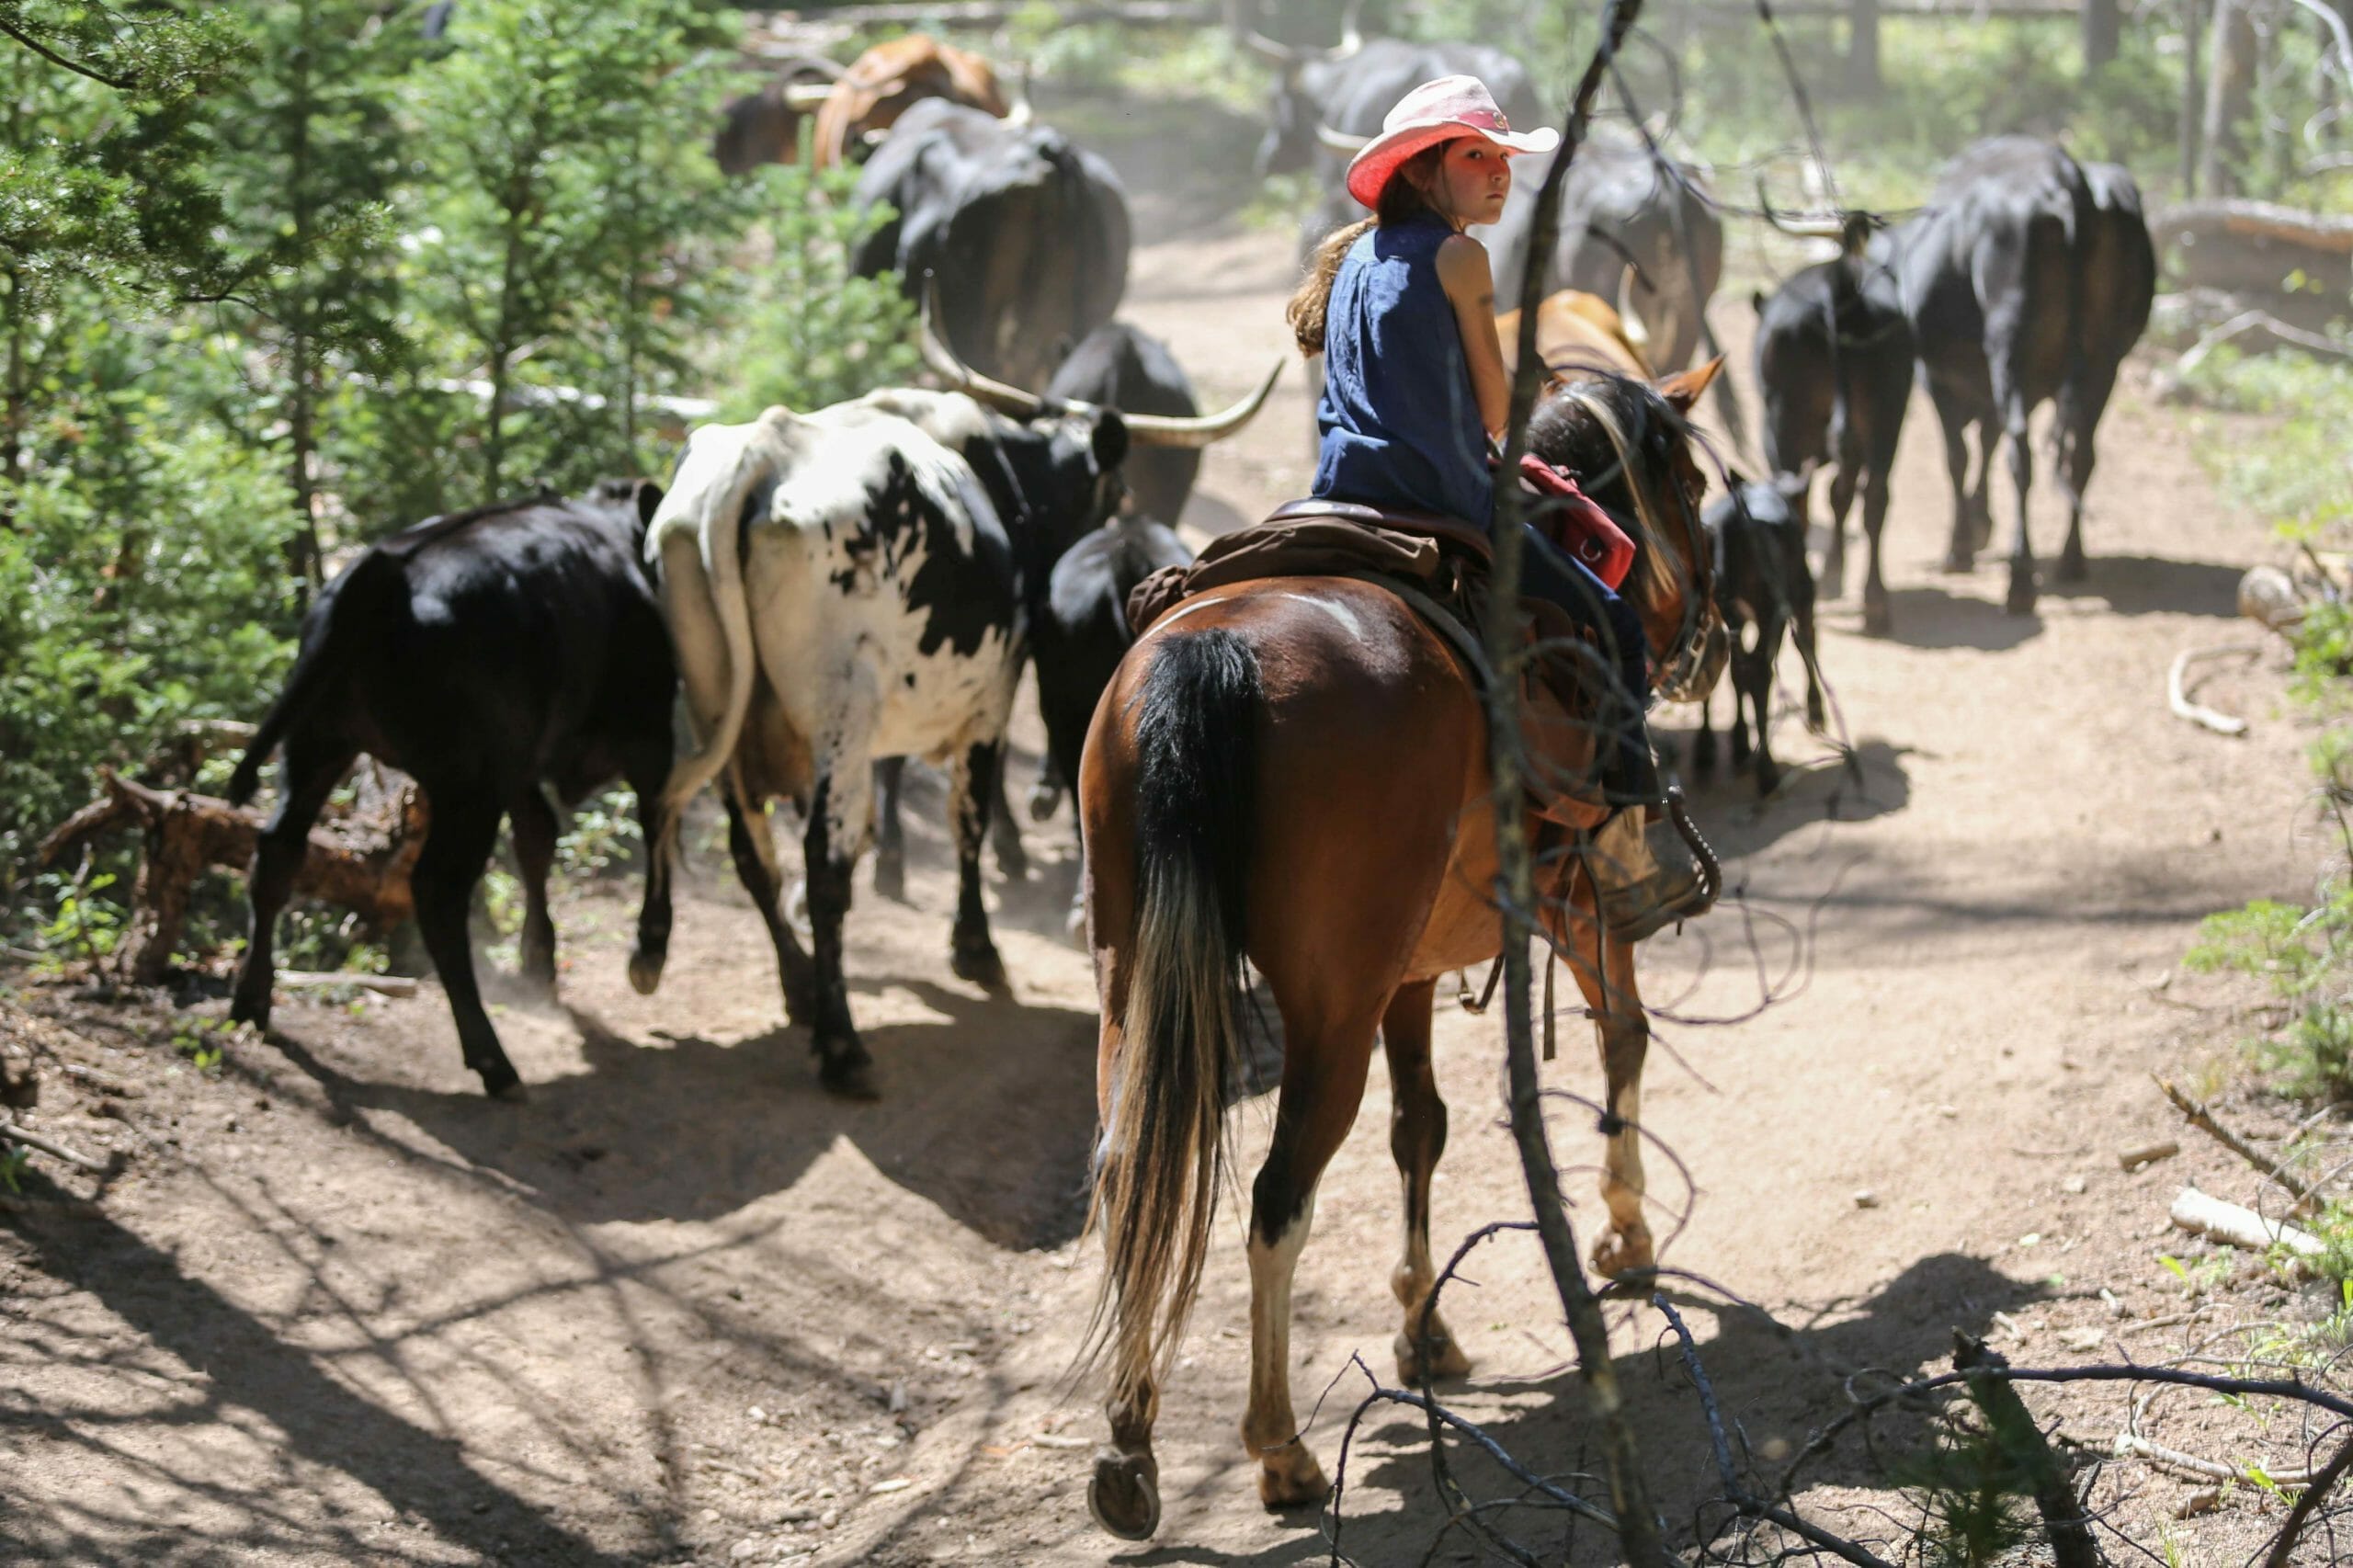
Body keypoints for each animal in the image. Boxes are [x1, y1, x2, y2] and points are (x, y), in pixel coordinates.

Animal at [225, 481, 678, 1101]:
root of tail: (386, 572)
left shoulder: (520, 764)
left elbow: (537, 839)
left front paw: (538, 961)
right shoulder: (648, 732)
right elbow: (657, 823)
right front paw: (649, 950)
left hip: (317, 741)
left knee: (277, 850)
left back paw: (251, 1001)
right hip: (468, 787)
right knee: (437, 893)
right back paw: (493, 1060)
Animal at [1693, 476, 1828, 796]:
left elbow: (1735, 673)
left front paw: (1739, 742)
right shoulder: (1800, 598)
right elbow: (1806, 643)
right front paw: (1816, 711)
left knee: (1718, 666)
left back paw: (1708, 752)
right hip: (1775, 606)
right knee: (1760, 671)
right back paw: (1767, 773)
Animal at [1751, 216, 1914, 634]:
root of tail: (1838, 290)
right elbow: (1841, 497)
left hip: (1784, 423)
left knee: (1802, 499)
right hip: (1887, 411)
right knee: (1874, 498)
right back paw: (1875, 605)